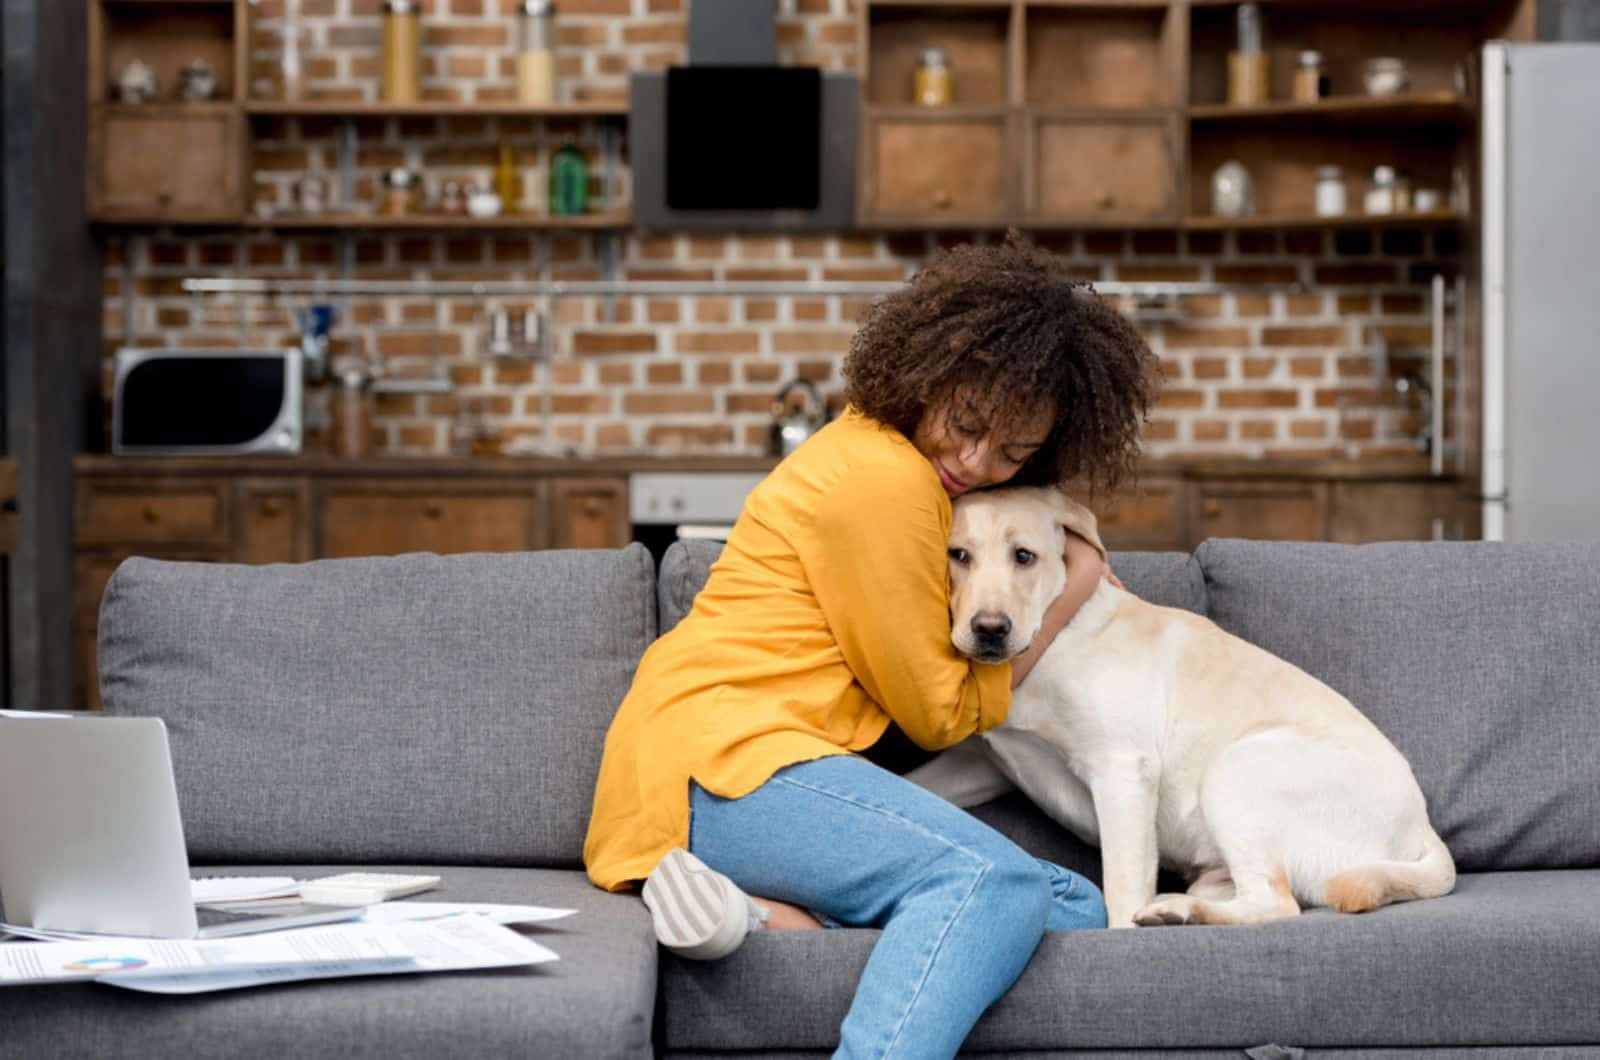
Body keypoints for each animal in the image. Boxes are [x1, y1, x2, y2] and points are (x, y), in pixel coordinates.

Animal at [908, 489, 1459, 928]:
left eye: (1024, 556)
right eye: (958, 555)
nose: (990, 629)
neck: (1051, 636)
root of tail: (1423, 829)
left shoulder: (1123, 771)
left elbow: (1121, 888)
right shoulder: (981, 763)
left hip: (1236, 770)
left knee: (1276, 903)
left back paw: (1176, 911)